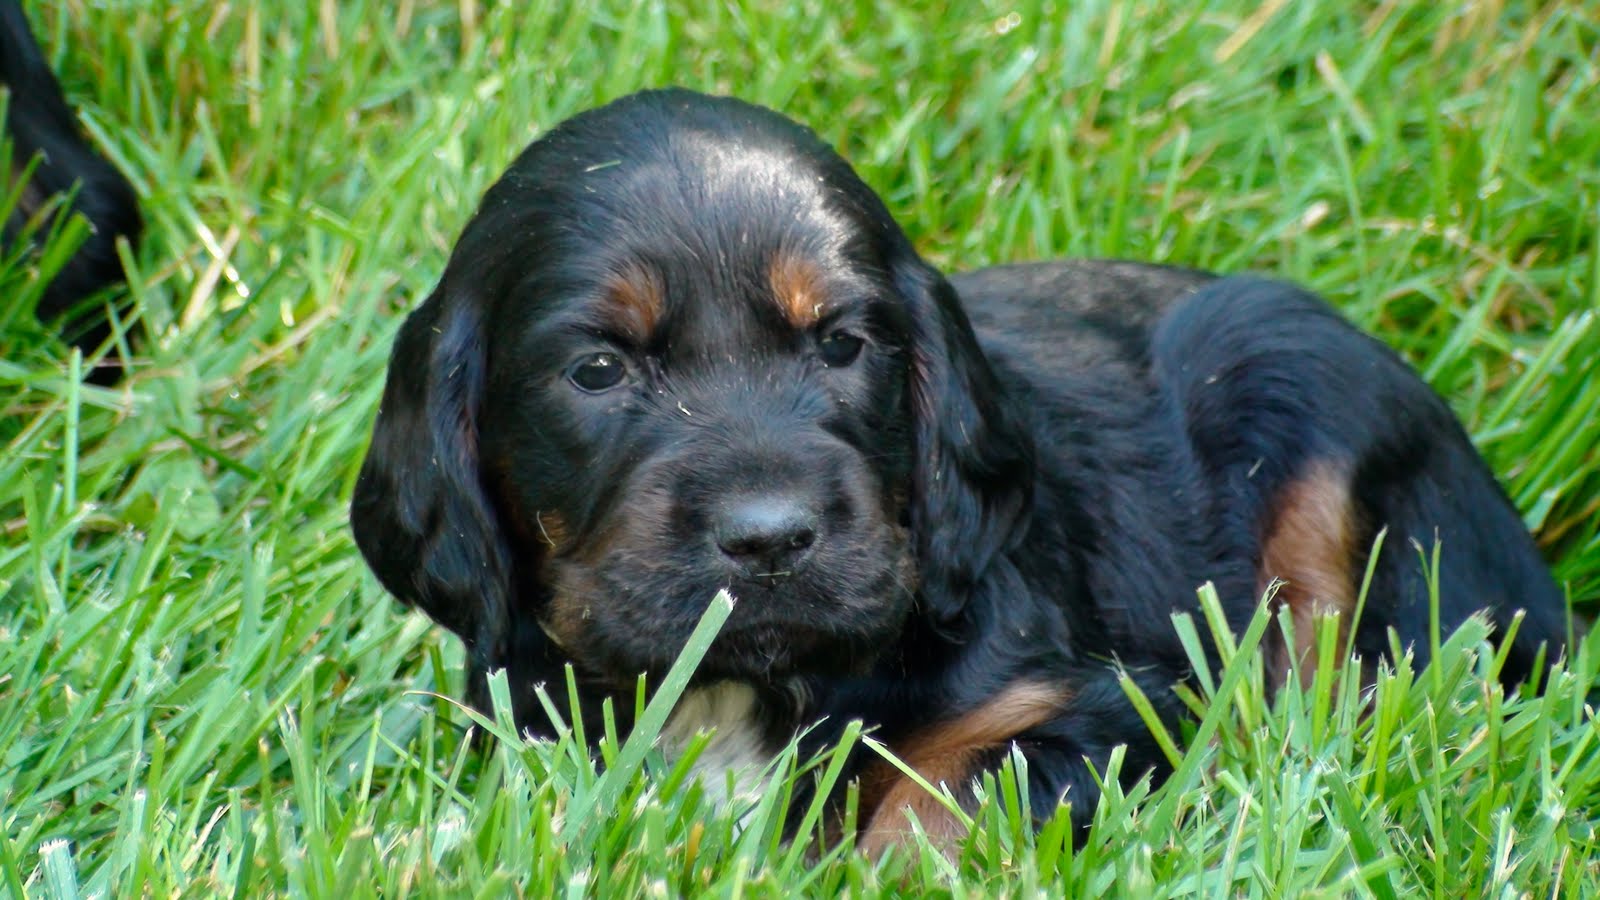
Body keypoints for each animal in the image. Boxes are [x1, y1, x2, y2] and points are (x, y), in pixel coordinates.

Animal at [350, 87, 1561, 845]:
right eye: (597, 370)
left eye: (844, 344)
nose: (772, 538)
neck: (748, 684)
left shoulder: (1102, 708)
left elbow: (939, 798)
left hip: (1310, 388)